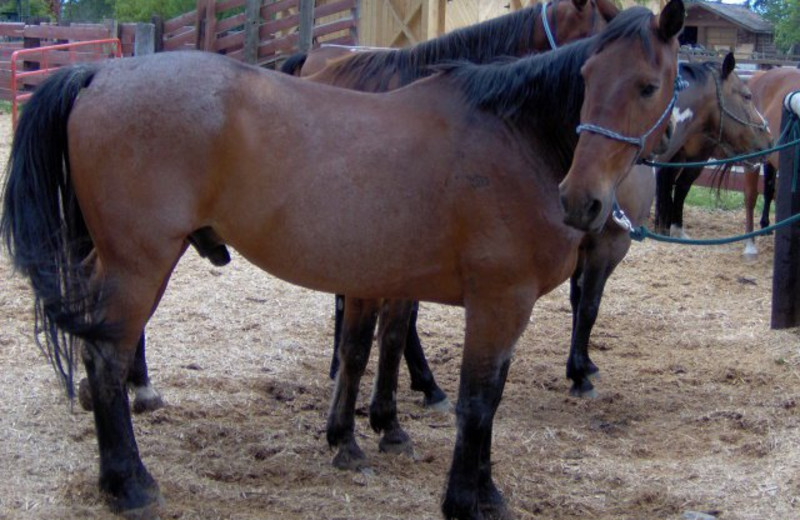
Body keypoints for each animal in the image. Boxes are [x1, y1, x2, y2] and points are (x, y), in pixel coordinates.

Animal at [3, 2, 684, 516]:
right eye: (588, 78)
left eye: (646, 86)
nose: (582, 201)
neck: (513, 136)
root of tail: (97, 75)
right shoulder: (498, 302)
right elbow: (476, 399)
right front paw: (465, 497)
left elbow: (403, 363)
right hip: (138, 264)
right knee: (106, 357)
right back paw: (129, 484)